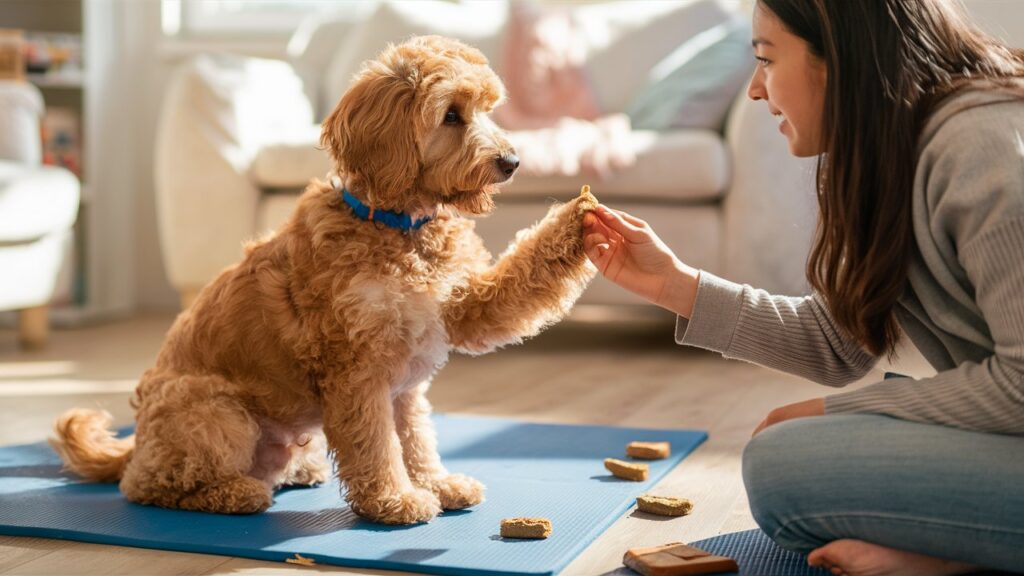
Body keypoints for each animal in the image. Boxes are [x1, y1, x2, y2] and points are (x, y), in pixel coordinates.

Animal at [49, 33, 598, 522]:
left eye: (487, 108)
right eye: (450, 115)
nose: (512, 162)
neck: (398, 225)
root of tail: (137, 441)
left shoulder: (453, 320)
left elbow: (417, 437)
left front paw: (580, 221)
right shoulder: (358, 372)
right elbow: (376, 444)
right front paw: (395, 500)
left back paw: (298, 470)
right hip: (215, 411)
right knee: (149, 485)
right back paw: (234, 493)